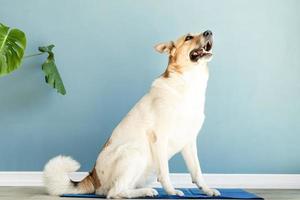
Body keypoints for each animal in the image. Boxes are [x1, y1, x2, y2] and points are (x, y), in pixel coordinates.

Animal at [42, 30, 220, 198]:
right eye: (189, 37)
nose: (209, 32)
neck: (188, 83)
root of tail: (93, 177)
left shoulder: (189, 142)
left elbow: (197, 172)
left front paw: (207, 190)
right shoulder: (160, 138)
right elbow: (165, 172)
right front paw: (171, 191)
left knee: (121, 188)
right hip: (136, 153)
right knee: (114, 192)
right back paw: (146, 192)